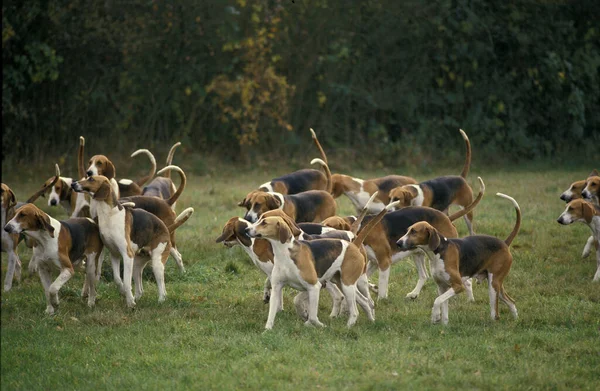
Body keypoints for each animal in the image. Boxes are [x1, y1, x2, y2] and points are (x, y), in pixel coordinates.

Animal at [72, 176, 195, 308]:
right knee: (140, 289)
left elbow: (126, 282)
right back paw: (137, 298)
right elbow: (117, 279)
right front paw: (124, 294)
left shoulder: (127, 255)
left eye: (91, 179)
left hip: (157, 264)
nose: (73, 184)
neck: (109, 215)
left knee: (162, 288)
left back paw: (160, 301)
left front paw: (130, 302)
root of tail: (166, 229)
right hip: (136, 265)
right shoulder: (114, 254)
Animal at [322, 178, 486, 300]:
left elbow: (382, 286)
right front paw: (373, 288)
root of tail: (447, 218)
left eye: (329, 226)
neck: (363, 226)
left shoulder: (384, 261)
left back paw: (469, 299)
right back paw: (414, 294)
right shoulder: (373, 262)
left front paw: (381, 298)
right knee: (424, 275)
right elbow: (365, 280)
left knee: (466, 279)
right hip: (418, 254)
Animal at [398, 192, 520, 324]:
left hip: (493, 285)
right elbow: (443, 305)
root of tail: (504, 243)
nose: (398, 243)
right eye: (407, 231)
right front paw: (444, 324)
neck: (438, 253)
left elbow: (437, 300)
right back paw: (515, 320)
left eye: (414, 232)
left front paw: (435, 316)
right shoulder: (442, 287)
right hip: (496, 285)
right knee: (511, 302)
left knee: (495, 314)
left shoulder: (458, 286)